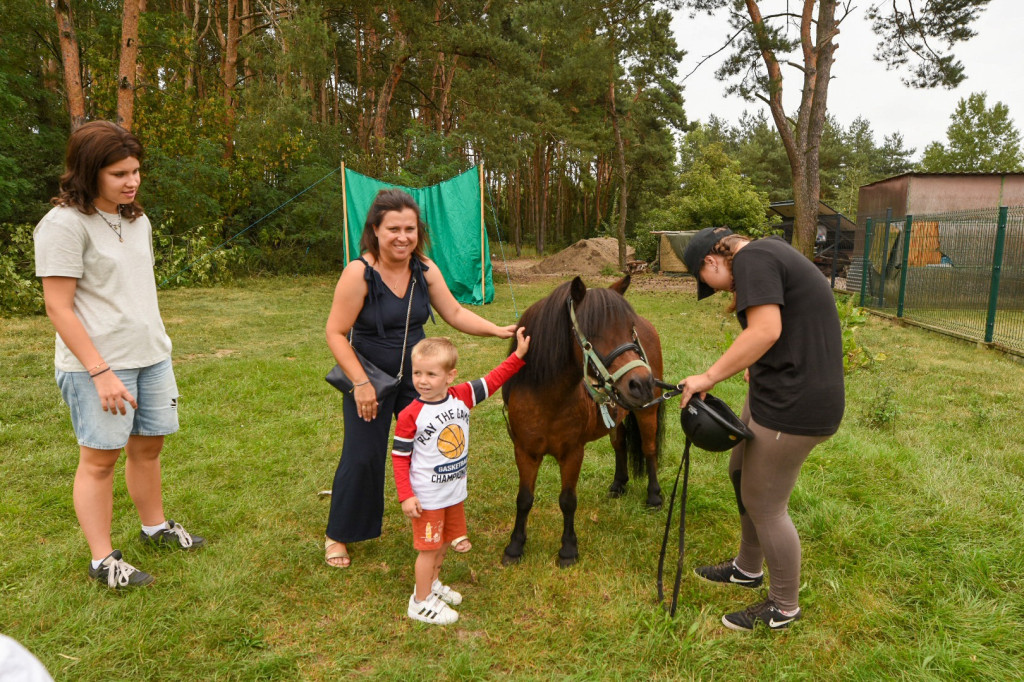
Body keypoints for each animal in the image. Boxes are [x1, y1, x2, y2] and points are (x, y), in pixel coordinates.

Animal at [501, 274, 663, 565]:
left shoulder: (573, 453)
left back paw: (654, 497)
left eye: (629, 329)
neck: (548, 400)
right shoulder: (525, 452)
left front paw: (568, 549)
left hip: (646, 412)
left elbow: (567, 500)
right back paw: (618, 485)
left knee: (649, 449)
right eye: (592, 332)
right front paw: (515, 546)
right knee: (620, 444)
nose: (642, 383)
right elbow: (524, 498)